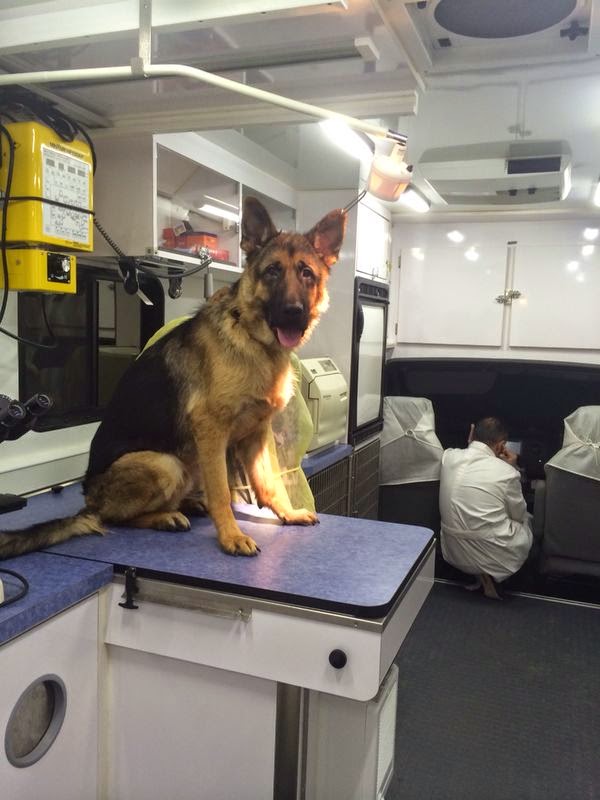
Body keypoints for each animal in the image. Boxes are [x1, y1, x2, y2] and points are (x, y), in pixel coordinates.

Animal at [0, 196, 346, 559]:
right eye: (273, 271)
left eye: (307, 273)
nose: (294, 312)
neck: (253, 339)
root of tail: (88, 501)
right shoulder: (212, 431)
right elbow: (222, 492)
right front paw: (231, 536)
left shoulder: (257, 433)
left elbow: (271, 483)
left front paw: (287, 514)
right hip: (165, 464)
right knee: (112, 518)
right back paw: (165, 516)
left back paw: (187, 505)